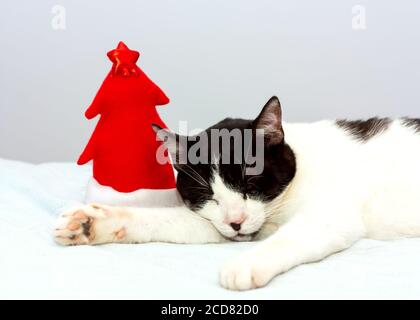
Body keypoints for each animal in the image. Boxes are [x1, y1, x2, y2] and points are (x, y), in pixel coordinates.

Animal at [54, 96, 420, 292]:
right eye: (208, 195)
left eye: (249, 184)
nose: (236, 221)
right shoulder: (216, 222)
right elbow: (169, 221)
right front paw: (91, 222)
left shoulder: (329, 215)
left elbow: (290, 236)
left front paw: (245, 264)